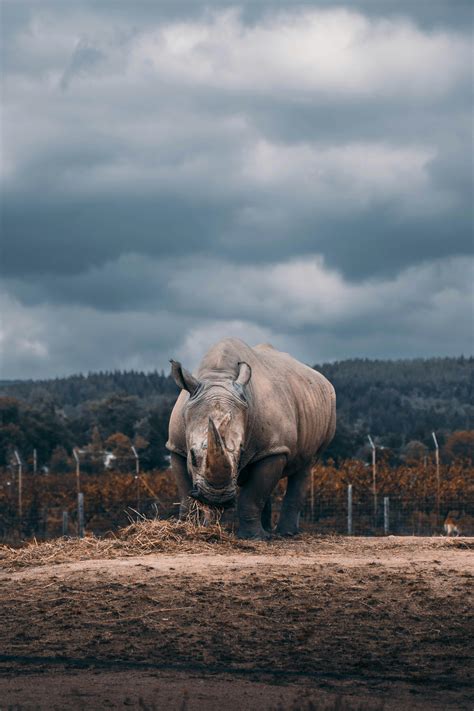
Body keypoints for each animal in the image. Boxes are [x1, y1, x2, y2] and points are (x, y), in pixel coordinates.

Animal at [167, 338, 336, 539]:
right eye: (192, 456)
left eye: (241, 452)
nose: (217, 497)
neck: (218, 376)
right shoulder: (176, 446)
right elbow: (185, 493)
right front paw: (192, 527)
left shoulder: (274, 450)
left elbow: (253, 495)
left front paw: (253, 537)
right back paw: (268, 531)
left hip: (326, 410)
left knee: (305, 467)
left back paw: (285, 534)